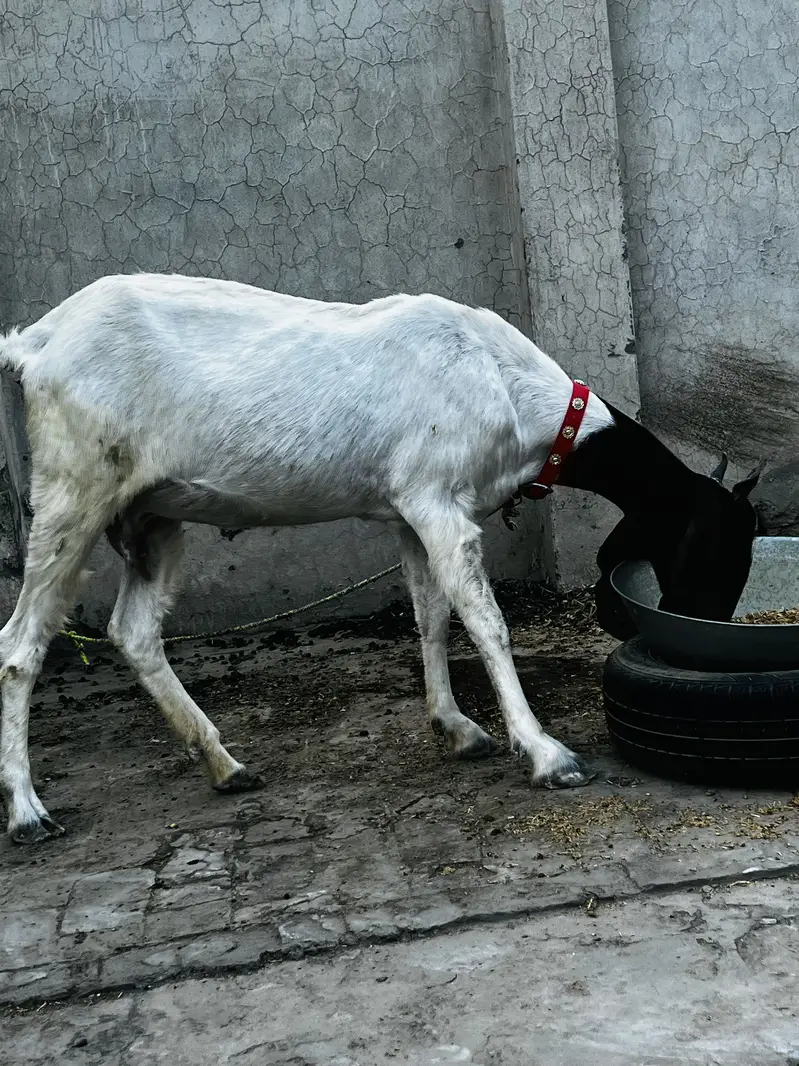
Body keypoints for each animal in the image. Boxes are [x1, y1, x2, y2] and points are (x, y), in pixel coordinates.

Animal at [0, 274, 760, 843]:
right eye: (717, 546)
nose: (701, 634)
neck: (505, 384)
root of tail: (36, 342)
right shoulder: (438, 503)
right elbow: (486, 622)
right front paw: (546, 753)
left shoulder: (408, 512)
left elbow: (431, 618)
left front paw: (458, 729)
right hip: (74, 487)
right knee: (20, 643)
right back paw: (29, 810)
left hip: (153, 515)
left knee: (133, 630)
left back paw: (224, 763)